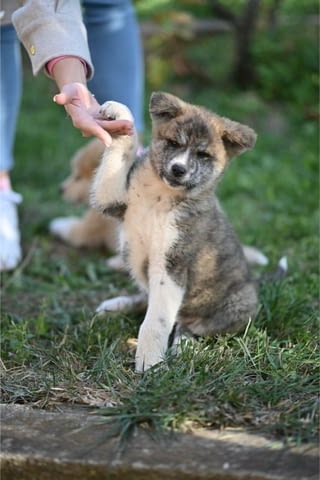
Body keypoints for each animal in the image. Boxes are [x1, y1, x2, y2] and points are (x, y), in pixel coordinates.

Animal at [90, 93, 260, 372]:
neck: (161, 195)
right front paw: (120, 114)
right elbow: (122, 150)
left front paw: (149, 364)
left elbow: (156, 322)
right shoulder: (114, 199)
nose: (178, 169)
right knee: (148, 300)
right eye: (173, 143)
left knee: (191, 326)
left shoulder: (171, 265)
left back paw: (184, 346)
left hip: (240, 303)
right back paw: (116, 306)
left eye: (203, 155)